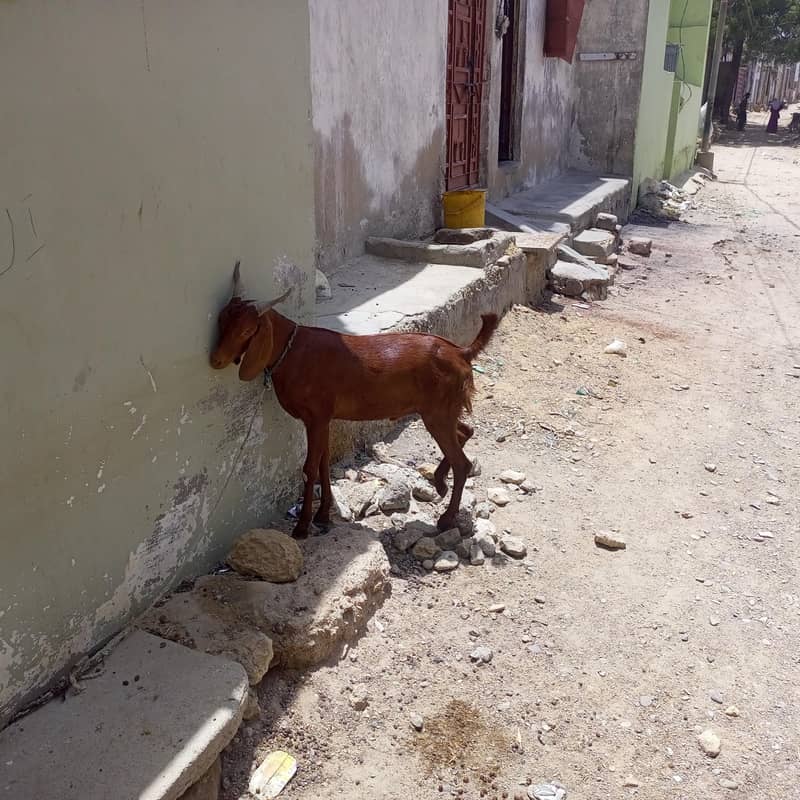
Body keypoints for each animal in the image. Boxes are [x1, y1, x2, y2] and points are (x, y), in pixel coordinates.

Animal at [210, 262, 499, 539]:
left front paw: (303, 526)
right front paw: (323, 515)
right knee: (465, 431)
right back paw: (439, 481)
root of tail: (461, 352)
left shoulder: (316, 417)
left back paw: (446, 518)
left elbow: (310, 468)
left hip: (437, 411)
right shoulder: (322, 419)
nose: (216, 360)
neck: (292, 351)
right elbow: (323, 463)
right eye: (221, 320)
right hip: (442, 409)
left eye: (247, 330)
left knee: (462, 462)